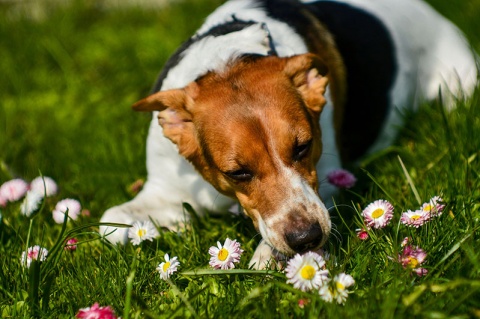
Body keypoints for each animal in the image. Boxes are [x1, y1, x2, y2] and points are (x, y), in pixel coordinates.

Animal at [99, 0, 478, 270]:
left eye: (303, 147)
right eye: (238, 173)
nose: (306, 238)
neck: (228, 60)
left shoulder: (329, 181)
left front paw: (269, 255)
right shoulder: (164, 189)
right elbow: (109, 223)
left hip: (458, 84)